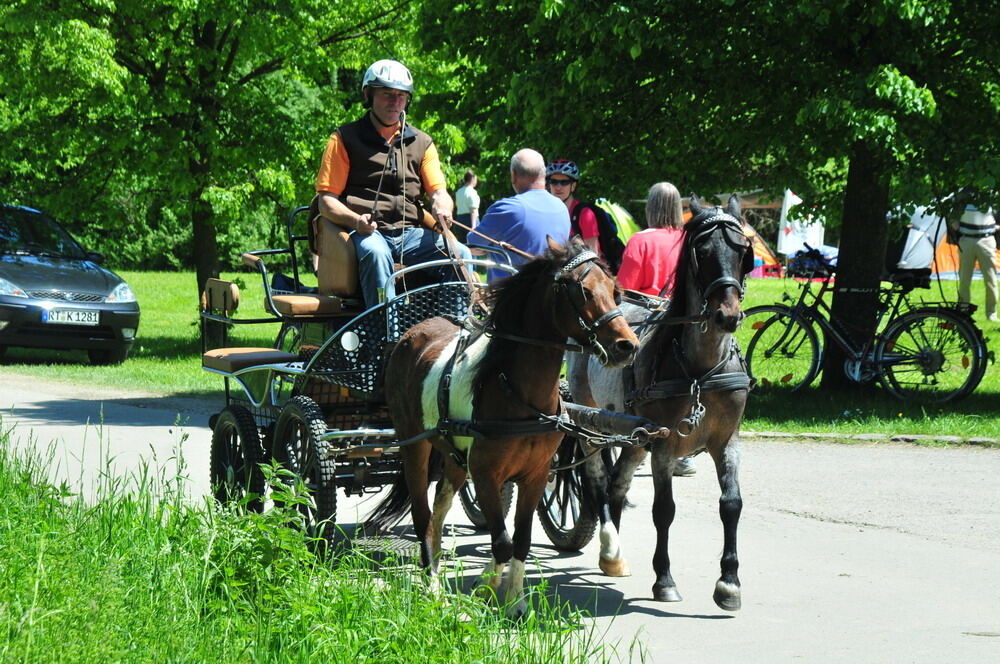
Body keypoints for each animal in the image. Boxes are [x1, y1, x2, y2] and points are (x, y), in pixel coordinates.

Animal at [370, 237, 640, 616]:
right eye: (583, 291)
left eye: (615, 291)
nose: (627, 346)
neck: (515, 390)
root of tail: (412, 332)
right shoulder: (485, 475)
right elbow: (500, 540)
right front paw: (487, 589)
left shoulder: (535, 476)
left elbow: (521, 540)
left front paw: (516, 601)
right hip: (413, 446)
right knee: (423, 515)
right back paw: (433, 585)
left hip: (454, 457)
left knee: (439, 510)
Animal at [568, 193, 752, 612]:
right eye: (702, 250)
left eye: (742, 251)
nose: (728, 315)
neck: (700, 370)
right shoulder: (665, 445)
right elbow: (664, 510)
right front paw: (664, 579)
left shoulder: (726, 440)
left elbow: (731, 504)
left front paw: (729, 583)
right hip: (587, 424)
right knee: (599, 481)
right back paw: (609, 544)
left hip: (635, 437)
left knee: (618, 484)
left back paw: (613, 553)